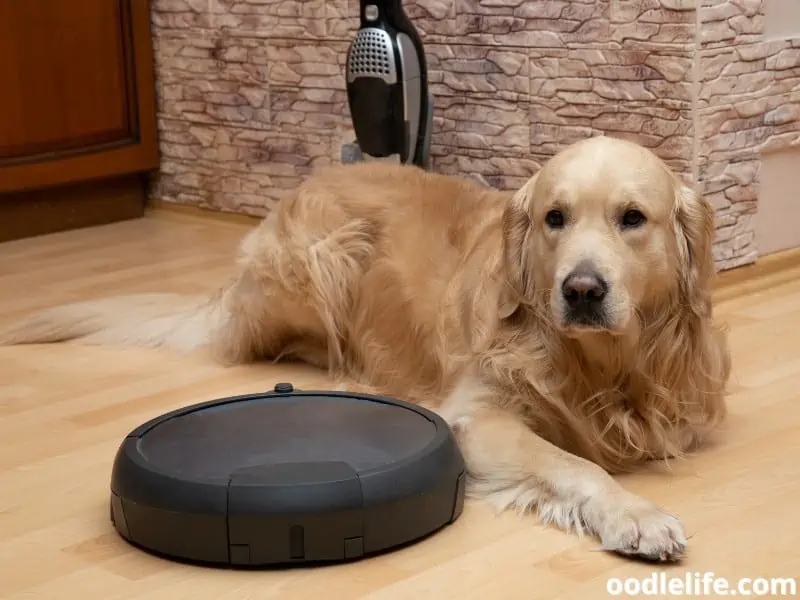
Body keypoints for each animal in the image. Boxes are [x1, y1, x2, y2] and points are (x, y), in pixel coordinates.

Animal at [0, 136, 732, 564]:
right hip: (323, 257)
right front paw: (636, 515)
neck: (598, 363)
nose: (580, 290)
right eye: (555, 218)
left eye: (632, 219)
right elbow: (574, 465)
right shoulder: (478, 418)